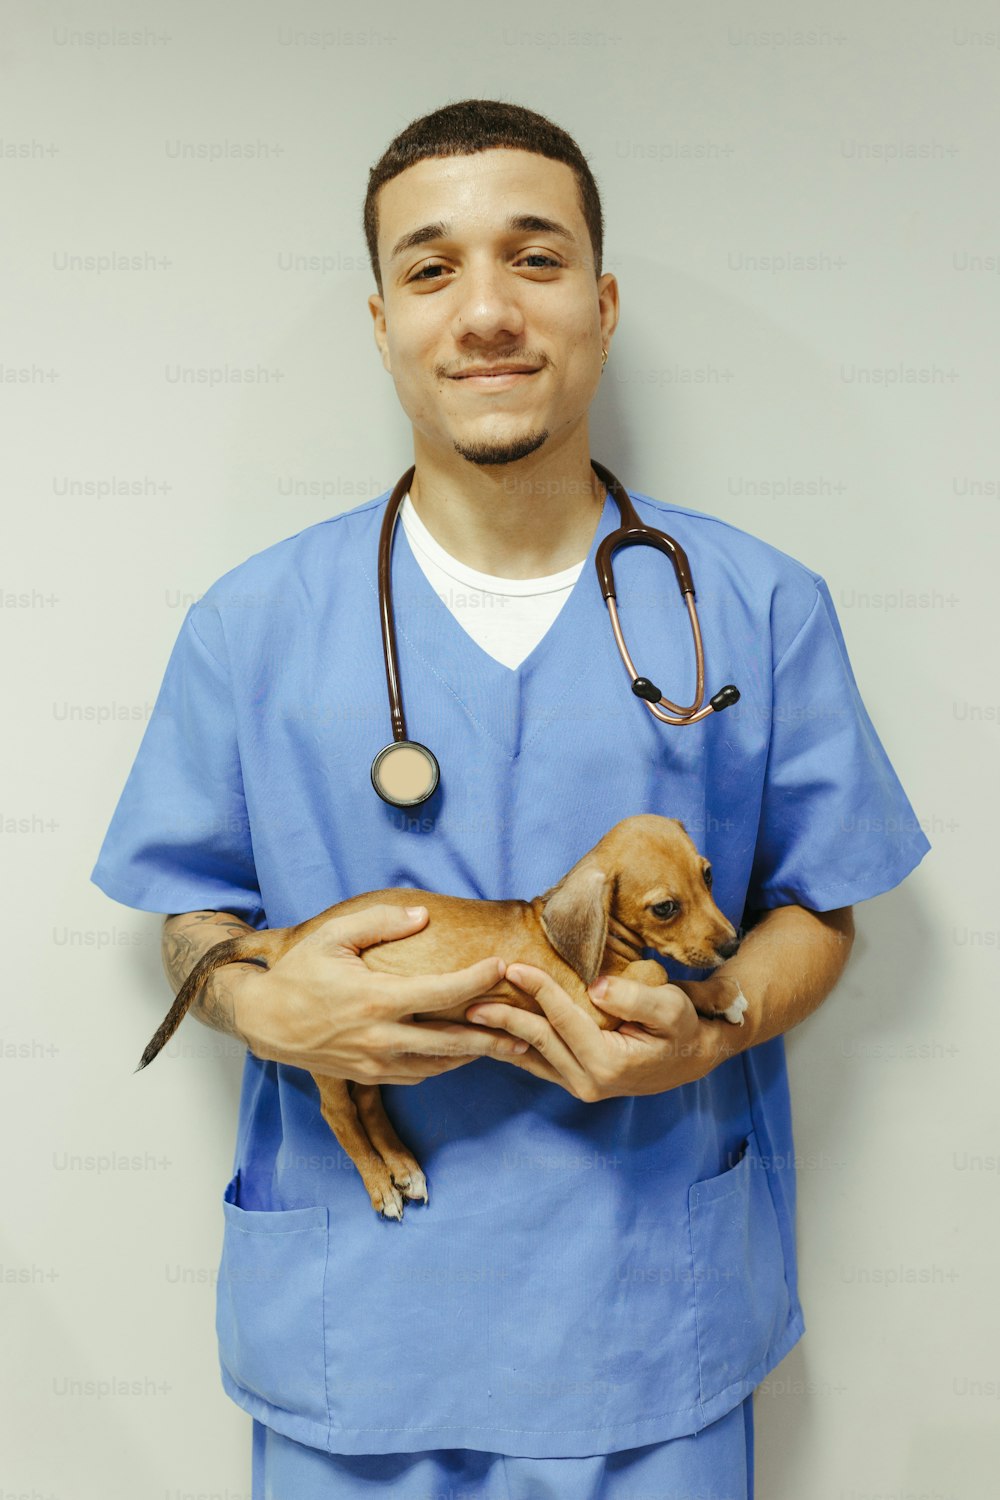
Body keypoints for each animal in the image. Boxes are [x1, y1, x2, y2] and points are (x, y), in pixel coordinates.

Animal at [144, 816, 746, 1212]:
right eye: (665, 907)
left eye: (709, 875)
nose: (733, 945)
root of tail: (291, 935)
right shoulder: (587, 1004)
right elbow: (658, 975)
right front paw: (696, 987)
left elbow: (679, 984)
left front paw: (721, 997)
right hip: (332, 1051)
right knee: (338, 1114)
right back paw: (380, 1183)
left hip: (371, 1051)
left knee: (368, 1104)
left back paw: (402, 1167)